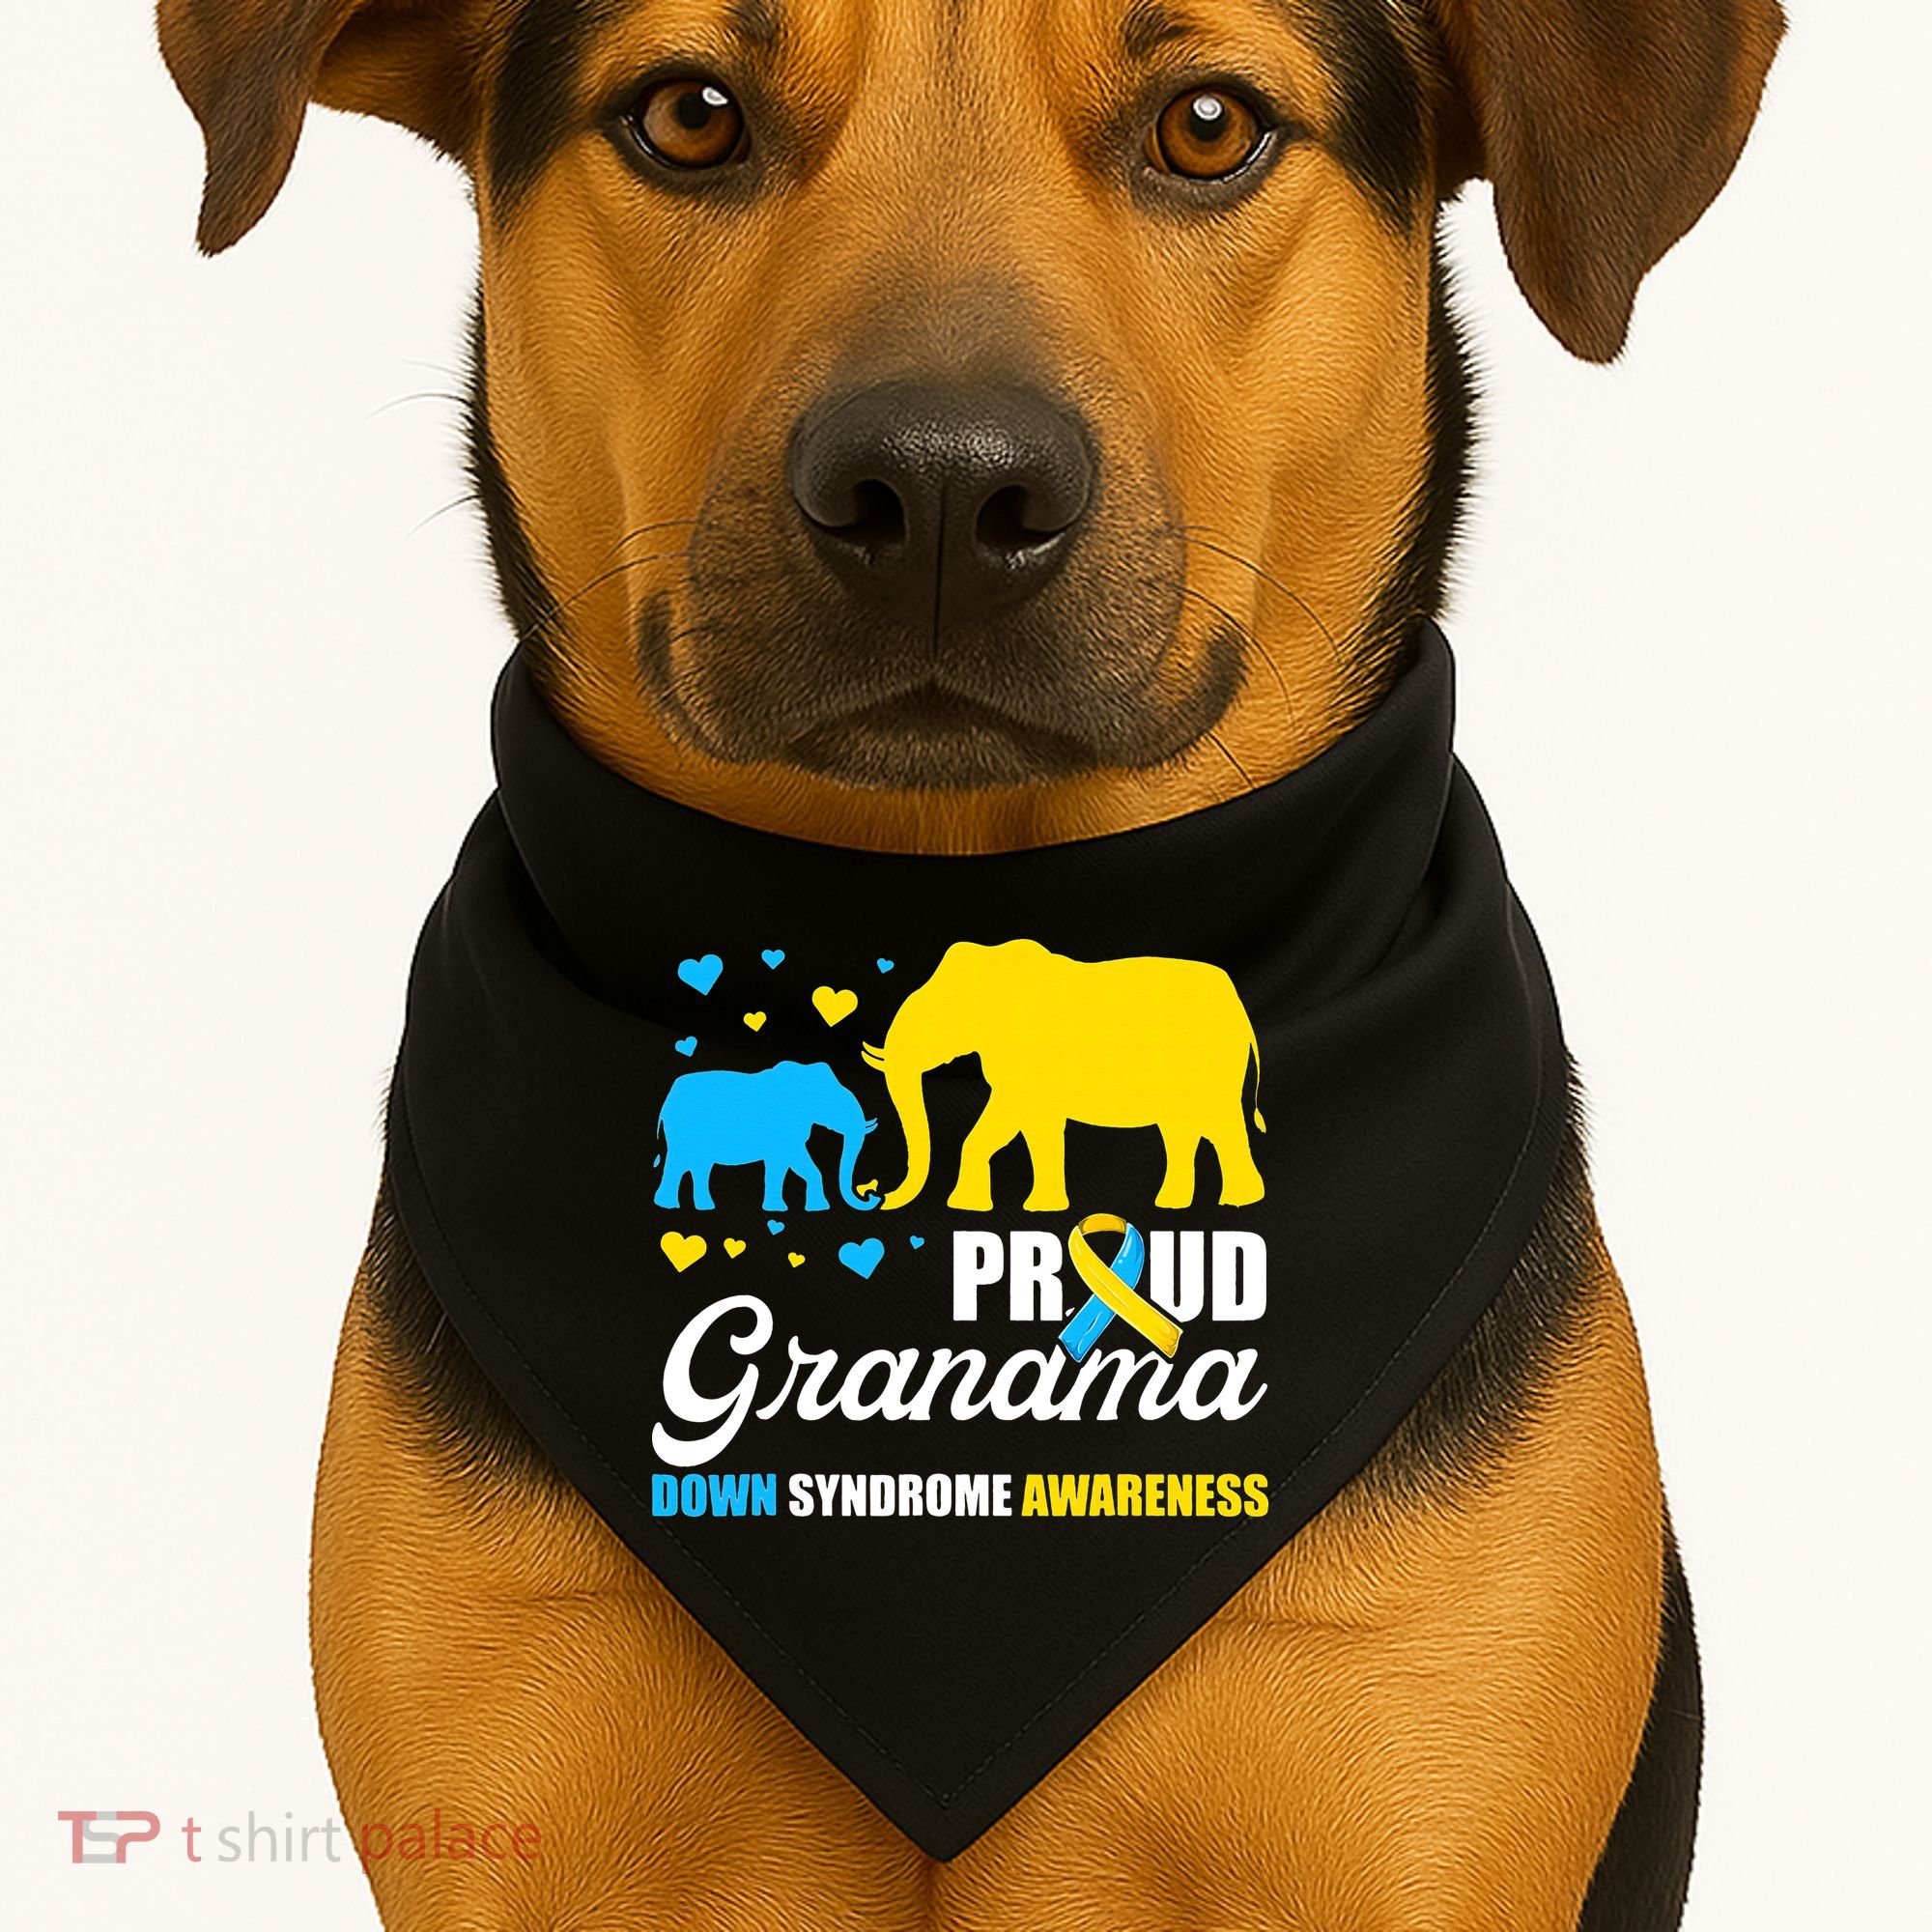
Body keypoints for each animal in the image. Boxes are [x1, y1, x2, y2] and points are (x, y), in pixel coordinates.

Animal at [653, 1060, 881, 1214]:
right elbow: (796, 1158)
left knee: (700, 1165)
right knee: (679, 1161)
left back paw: (704, 1207)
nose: (873, 1195)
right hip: (684, 1127)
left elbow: (780, 1165)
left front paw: (778, 1209)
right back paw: (669, 1205)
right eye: (828, 1101)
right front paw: (817, 1209)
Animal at [862, 939, 1266, 1214]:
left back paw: (1238, 1201)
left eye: (947, 1014)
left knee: (1220, 1123)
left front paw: (1034, 1208)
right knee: (1184, 1129)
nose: (875, 1194)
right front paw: (973, 1207)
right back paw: (1174, 1203)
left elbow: (1021, 1118)